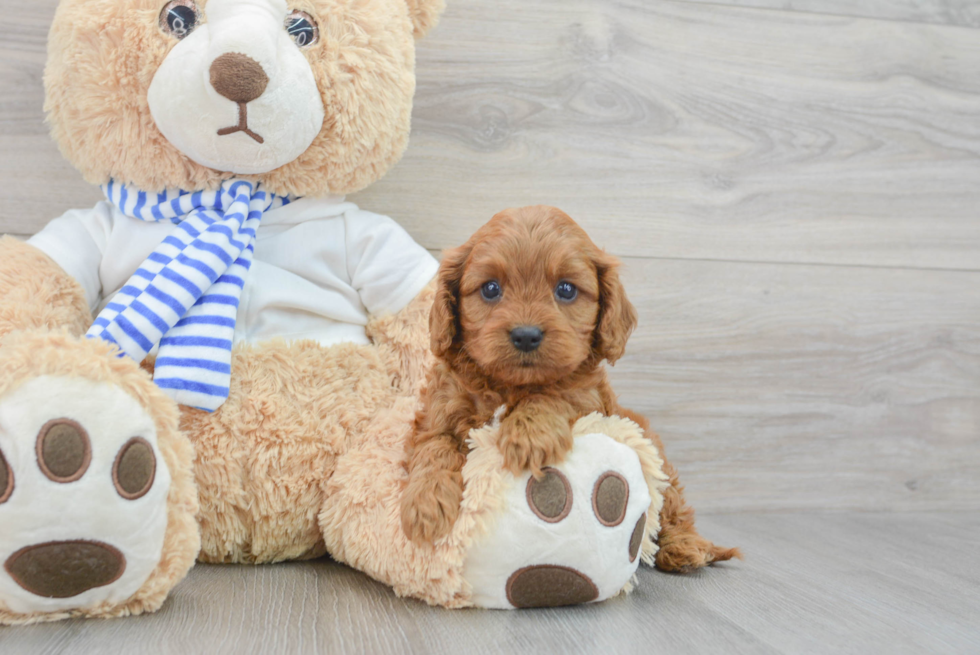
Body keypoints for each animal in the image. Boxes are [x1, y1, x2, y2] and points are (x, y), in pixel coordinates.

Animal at [398, 208, 736, 572]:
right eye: (490, 288)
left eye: (566, 289)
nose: (526, 335)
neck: (512, 385)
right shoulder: (437, 412)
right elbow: (435, 447)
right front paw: (425, 504)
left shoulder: (590, 399)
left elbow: (554, 393)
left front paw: (528, 435)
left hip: (658, 458)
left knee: (672, 506)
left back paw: (686, 547)